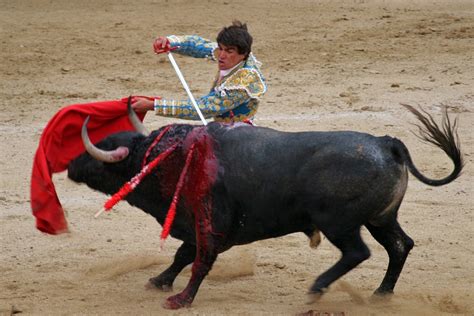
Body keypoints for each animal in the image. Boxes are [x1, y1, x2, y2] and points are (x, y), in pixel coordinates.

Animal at [66, 104, 462, 308]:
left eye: (102, 155)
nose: (69, 166)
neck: (167, 160)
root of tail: (386, 142)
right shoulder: (193, 223)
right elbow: (182, 255)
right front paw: (159, 281)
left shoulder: (212, 225)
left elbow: (200, 261)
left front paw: (181, 299)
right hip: (382, 219)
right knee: (400, 246)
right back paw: (381, 294)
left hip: (339, 223)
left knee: (358, 252)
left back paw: (318, 288)